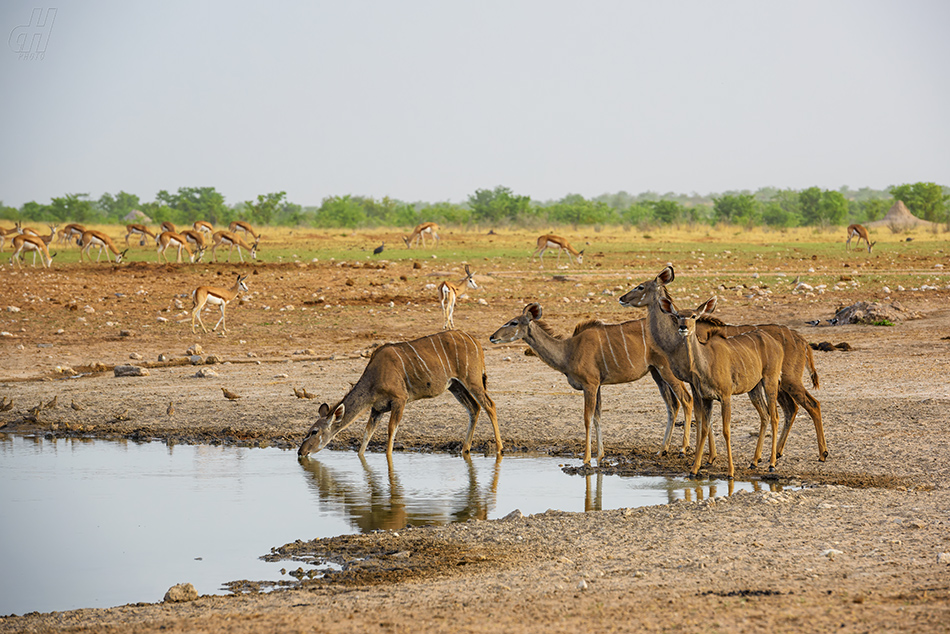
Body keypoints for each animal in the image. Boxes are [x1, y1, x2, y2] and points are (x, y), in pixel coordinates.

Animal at [300, 328, 506, 456]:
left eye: (313, 431)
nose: (300, 452)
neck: (374, 376)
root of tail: (476, 341)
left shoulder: (400, 399)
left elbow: (391, 431)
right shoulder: (377, 409)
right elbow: (366, 436)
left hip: (472, 380)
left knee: (490, 405)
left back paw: (499, 448)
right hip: (455, 386)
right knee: (474, 408)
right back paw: (465, 449)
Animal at [488, 302, 696, 464]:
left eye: (514, 322)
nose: (492, 336)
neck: (569, 351)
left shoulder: (590, 385)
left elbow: (587, 418)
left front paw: (587, 458)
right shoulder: (598, 386)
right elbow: (598, 416)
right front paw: (600, 455)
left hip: (667, 371)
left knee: (686, 400)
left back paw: (682, 449)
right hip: (656, 373)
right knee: (672, 405)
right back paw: (662, 450)